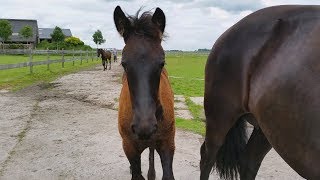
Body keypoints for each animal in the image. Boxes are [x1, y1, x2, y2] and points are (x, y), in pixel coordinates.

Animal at [114, 5, 175, 180]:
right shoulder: (129, 147)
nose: (144, 127)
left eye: (162, 63)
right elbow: (136, 173)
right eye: (123, 63)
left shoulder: (168, 144)